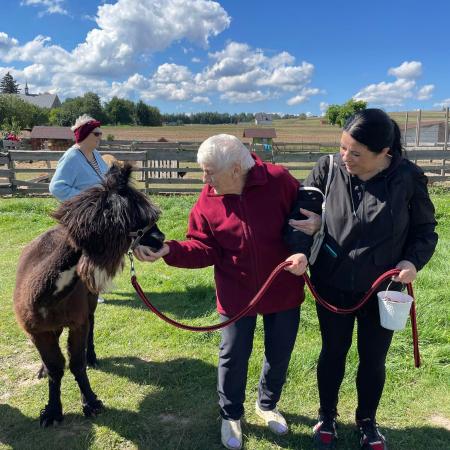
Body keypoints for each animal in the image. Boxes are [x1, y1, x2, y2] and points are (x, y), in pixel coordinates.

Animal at [13, 163, 165, 428]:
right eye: (137, 219)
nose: (161, 238)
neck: (46, 299)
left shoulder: (77, 320)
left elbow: (76, 363)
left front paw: (91, 403)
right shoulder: (35, 329)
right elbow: (55, 367)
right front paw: (52, 410)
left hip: (90, 300)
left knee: (92, 323)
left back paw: (92, 356)